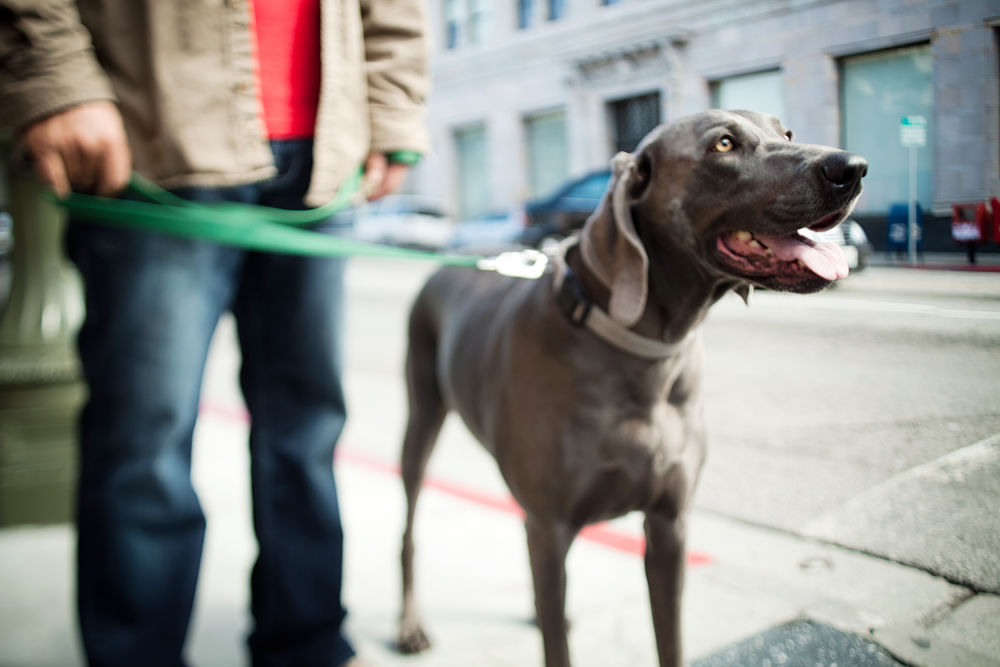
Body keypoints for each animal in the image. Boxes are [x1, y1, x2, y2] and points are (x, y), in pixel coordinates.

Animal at [394, 111, 864, 667]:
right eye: (724, 144)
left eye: (785, 133)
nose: (853, 167)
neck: (646, 354)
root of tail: (449, 257)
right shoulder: (552, 525)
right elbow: (557, 648)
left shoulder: (669, 525)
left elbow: (669, 639)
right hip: (421, 416)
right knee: (409, 530)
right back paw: (410, 626)